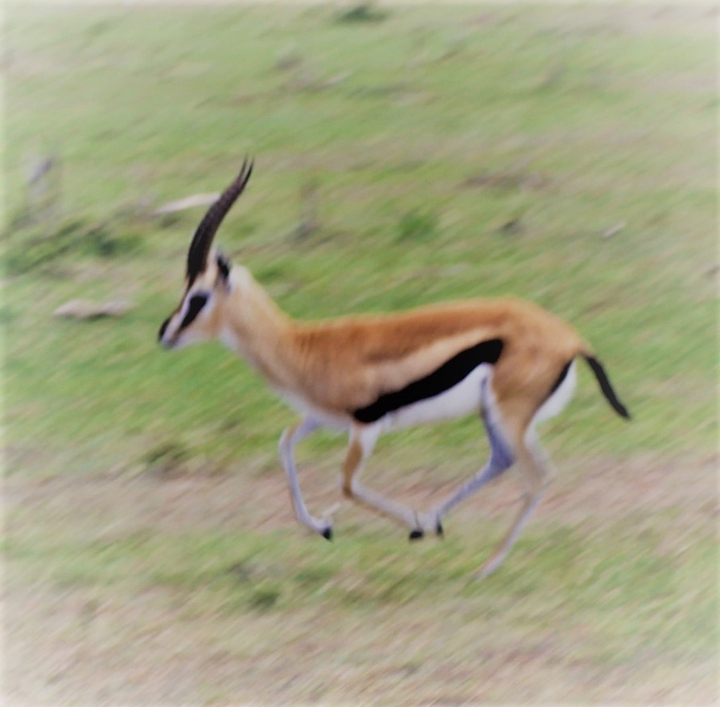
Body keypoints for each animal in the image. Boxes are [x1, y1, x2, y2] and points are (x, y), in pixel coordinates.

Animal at [158, 159, 630, 578]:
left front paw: (396, 523)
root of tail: (571, 339)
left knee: (537, 476)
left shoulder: (365, 425)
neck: (304, 347)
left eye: (198, 297)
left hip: (508, 416)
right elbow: (285, 446)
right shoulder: (324, 418)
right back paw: (435, 526)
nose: (165, 334)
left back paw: (482, 567)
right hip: (497, 415)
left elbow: (347, 484)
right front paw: (325, 526)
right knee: (503, 461)